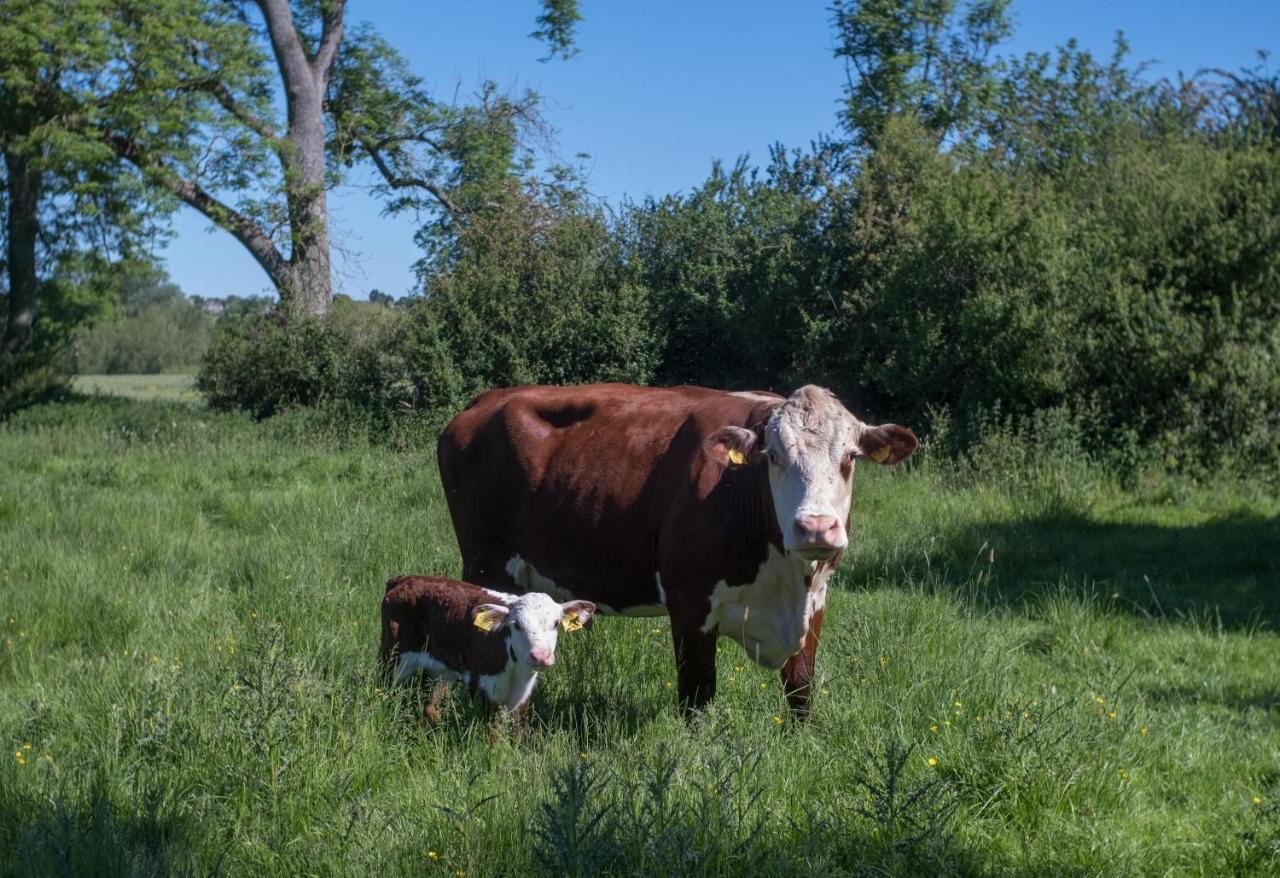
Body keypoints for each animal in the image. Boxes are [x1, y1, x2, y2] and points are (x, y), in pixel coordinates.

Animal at [376, 578, 596, 721]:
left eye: (556, 624)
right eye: (516, 625)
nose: (540, 656)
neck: (516, 672)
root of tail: (405, 579)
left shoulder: (522, 697)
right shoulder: (483, 687)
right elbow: (492, 734)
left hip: (442, 672)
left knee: (430, 707)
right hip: (391, 658)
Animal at [435, 383, 916, 716]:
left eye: (849, 457)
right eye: (774, 457)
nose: (816, 527)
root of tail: (487, 400)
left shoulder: (814, 602)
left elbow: (801, 688)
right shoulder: (689, 601)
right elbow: (697, 694)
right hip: (484, 561)